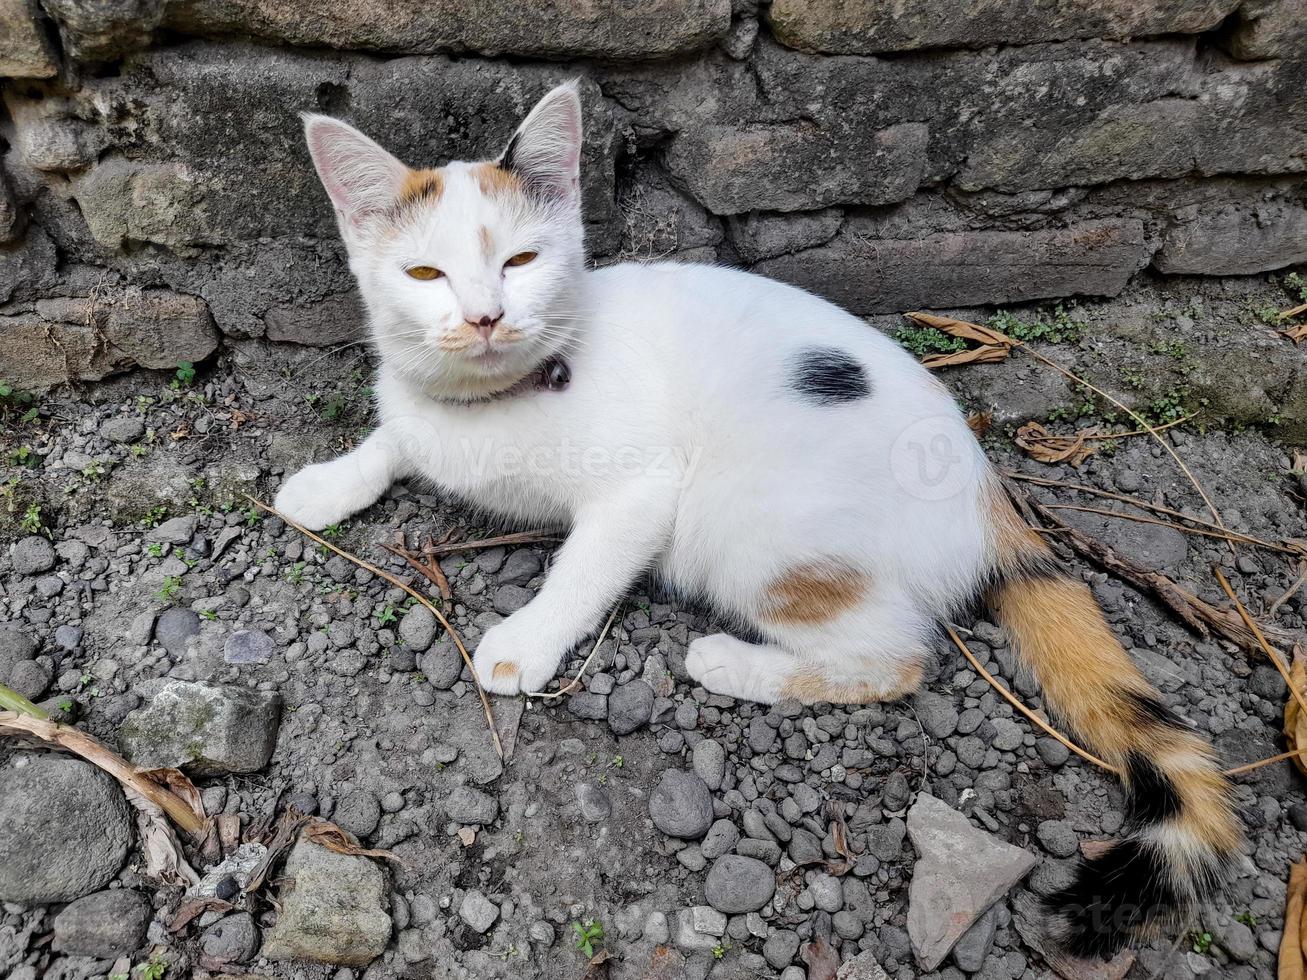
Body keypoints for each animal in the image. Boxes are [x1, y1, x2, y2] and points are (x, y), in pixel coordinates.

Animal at [278, 80, 1244, 956]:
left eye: (519, 261)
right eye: (425, 275)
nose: (485, 317)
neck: (488, 403)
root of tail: (986, 491)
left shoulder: (642, 490)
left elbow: (583, 567)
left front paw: (526, 641)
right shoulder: (421, 411)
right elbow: (393, 436)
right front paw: (326, 485)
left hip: (754, 526)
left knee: (891, 659)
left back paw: (732, 661)